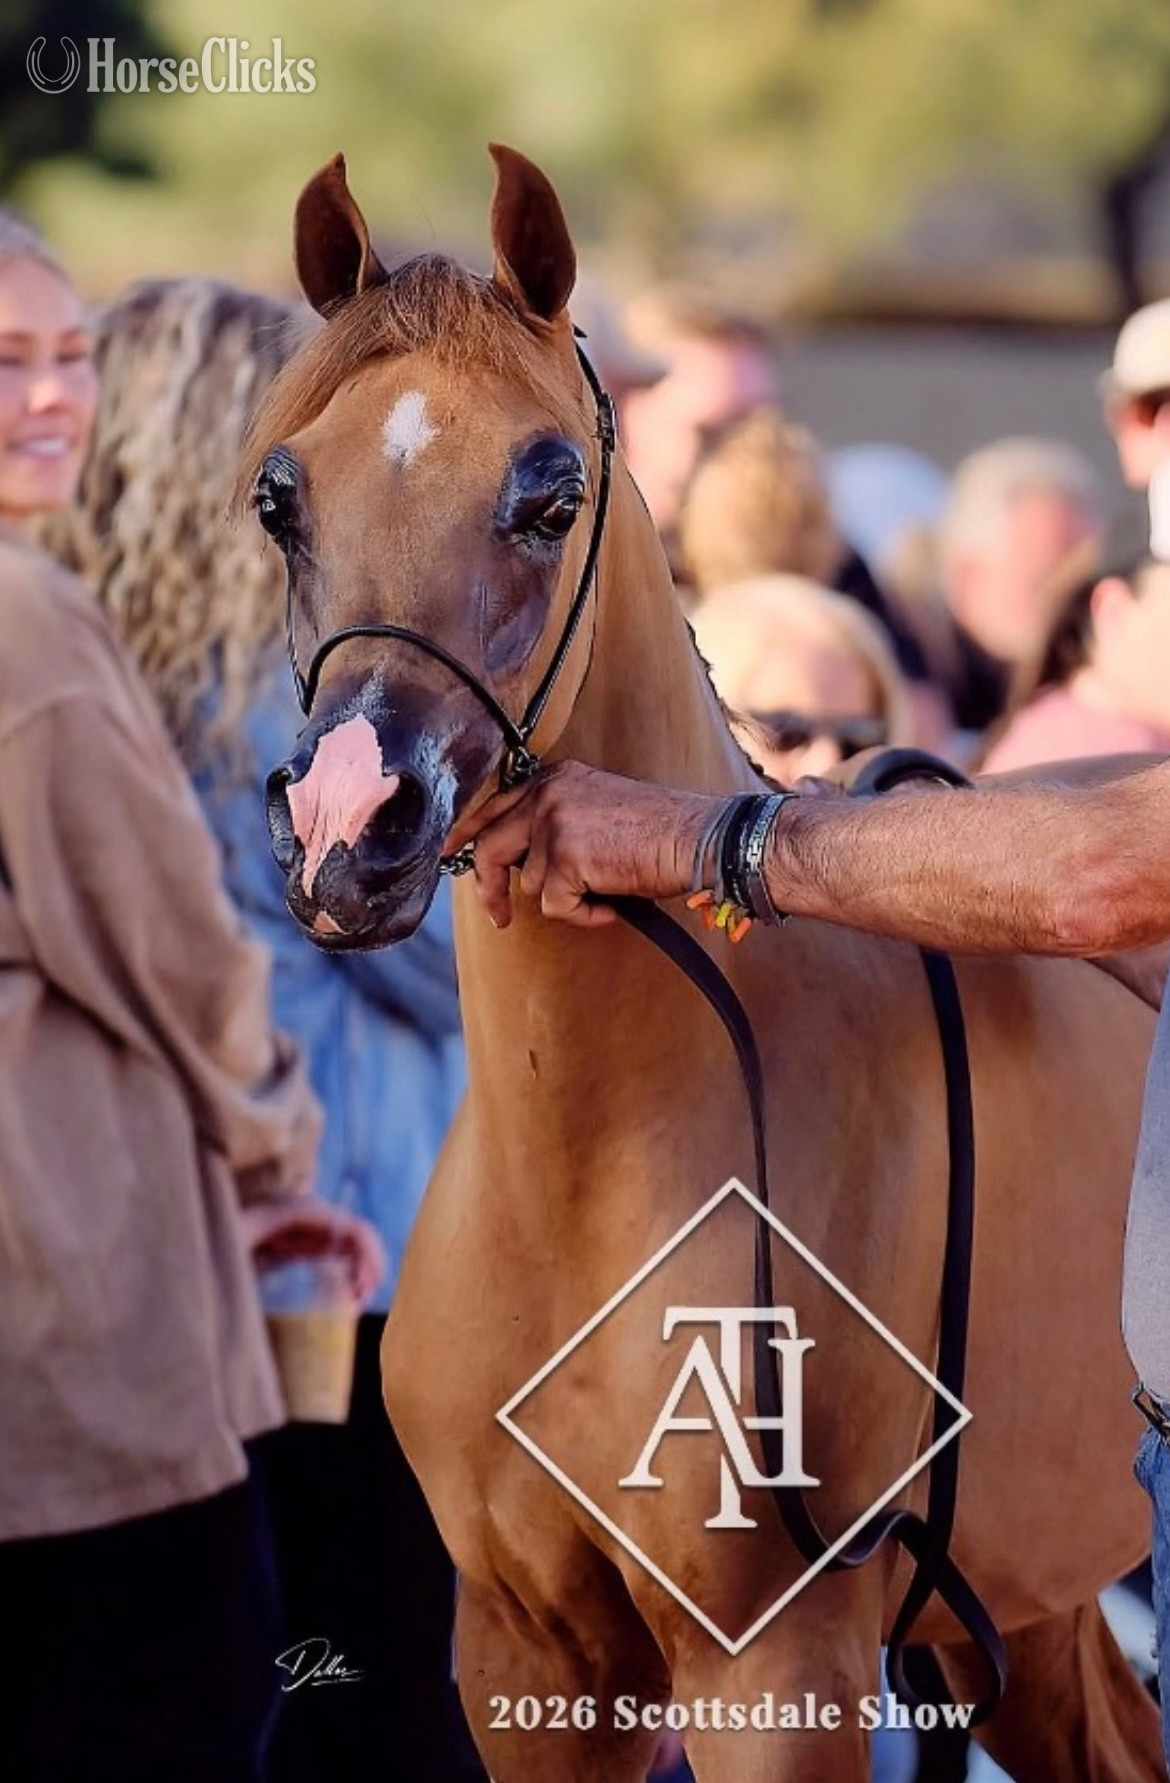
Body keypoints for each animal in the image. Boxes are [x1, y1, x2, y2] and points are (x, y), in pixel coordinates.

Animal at [252, 144, 1165, 1781]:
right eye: (278, 498)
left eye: (550, 492)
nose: (351, 826)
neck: (586, 1174)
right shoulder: (530, 1659)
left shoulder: (776, 1668)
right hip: (1033, 1610)